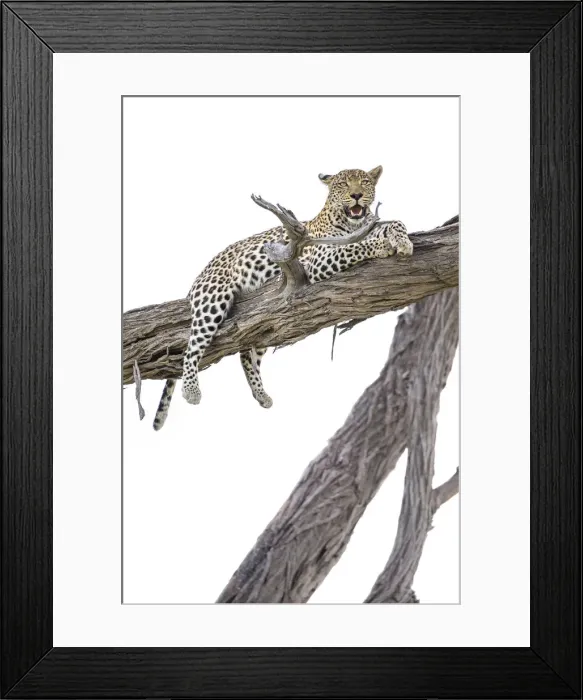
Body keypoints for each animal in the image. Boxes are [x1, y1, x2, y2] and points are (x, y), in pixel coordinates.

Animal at [153, 165, 412, 430]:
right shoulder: (318, 260)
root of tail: (201, 274)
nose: (357, 195)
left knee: (246, 353)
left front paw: (403, 241)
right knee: (192, 346)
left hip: (266, 325)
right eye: (342, 185)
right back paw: (191, 390)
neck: (349, 224)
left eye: (364, 182)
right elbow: (353, 247)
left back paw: (261, 395)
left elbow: (396, 223)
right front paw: (382, 245)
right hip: (212, 300)